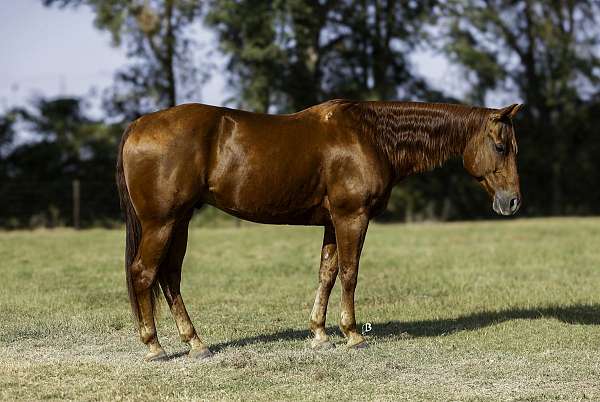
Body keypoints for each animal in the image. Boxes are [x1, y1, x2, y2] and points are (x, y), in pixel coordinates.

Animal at [115, 98, 524, 362]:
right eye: (501, 147)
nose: (512, 202)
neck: (370, 136)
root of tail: (139, 124)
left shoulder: (331, 222)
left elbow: (326, 274)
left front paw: (319, 334)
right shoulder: (351, 217)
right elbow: (349, 274)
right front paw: (352, 334)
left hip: (179, 222)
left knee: (169, 277)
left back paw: (196, 343)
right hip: (162, 223)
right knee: (144, 273)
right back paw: (153, 346)